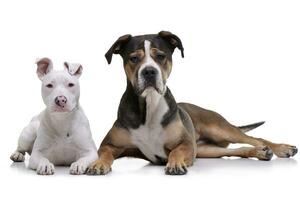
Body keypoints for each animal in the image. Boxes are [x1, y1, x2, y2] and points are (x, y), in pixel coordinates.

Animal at [86, 30, 298, 175]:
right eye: (133, 58)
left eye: (160, 56)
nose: (149, 71)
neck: (149, 105)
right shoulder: (109, 144)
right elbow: (104, 153)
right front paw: (98, 164)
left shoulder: (186, 144)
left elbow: (175, 152)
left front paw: (175, 163)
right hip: (206, 150)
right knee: (239, 149)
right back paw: (260, 153)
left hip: (219, 128)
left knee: (256, 139)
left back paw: (282, 148)